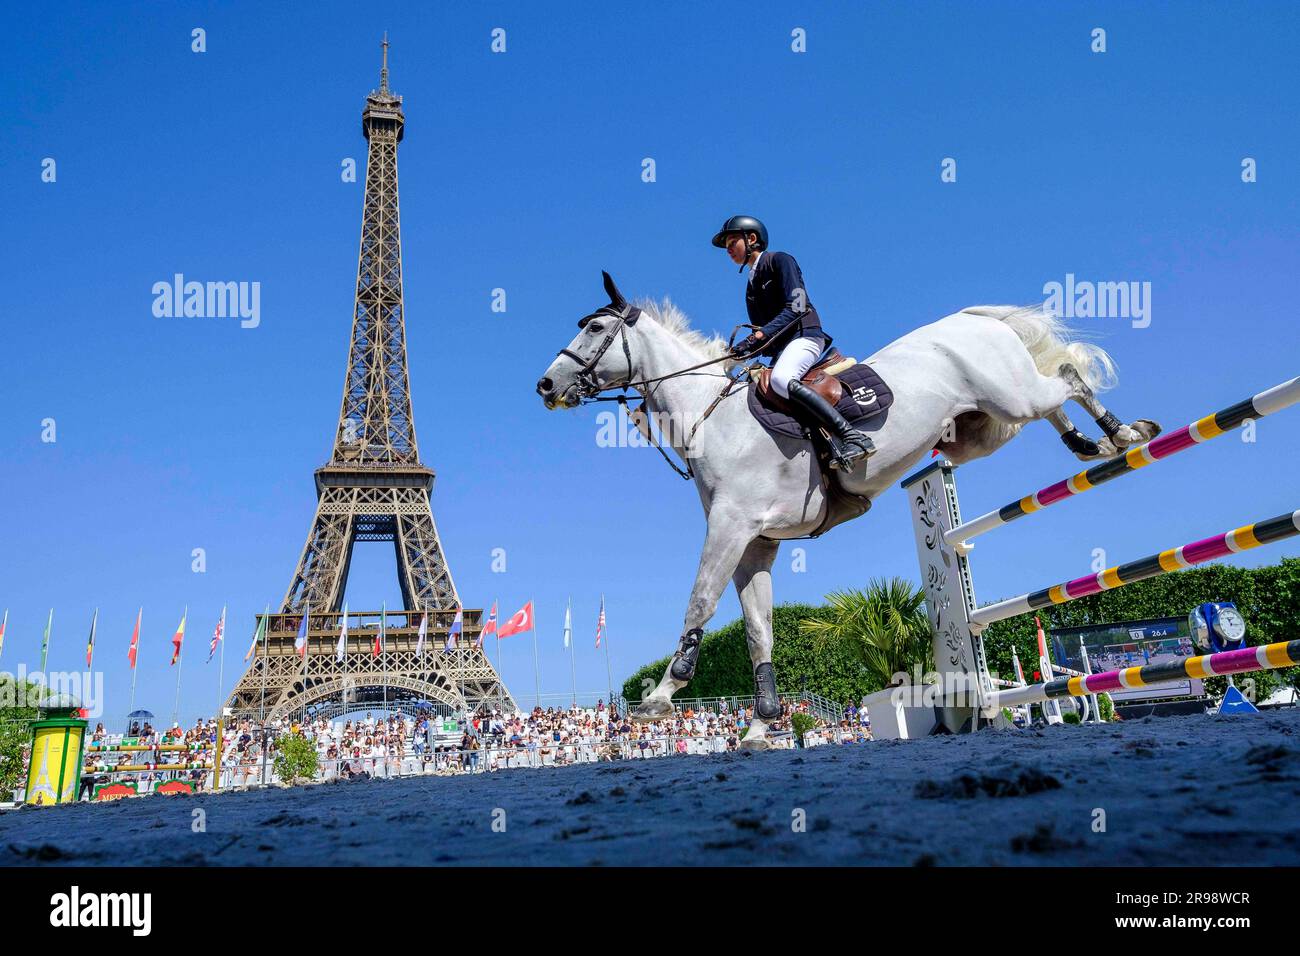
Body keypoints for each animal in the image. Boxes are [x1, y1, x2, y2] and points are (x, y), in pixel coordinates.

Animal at [533, 273, 1164, 749]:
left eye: (594, 327)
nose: (545, 385)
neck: (711, 417)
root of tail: (973, 318)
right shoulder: (757, 544)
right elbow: (758, 633)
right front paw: (761, 725)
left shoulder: (731, 527)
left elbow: (699, 602)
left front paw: (661, 695)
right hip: (982, 428)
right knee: (1053, 402)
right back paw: (1088, 446)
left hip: (1011, 397)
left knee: (1067, 379)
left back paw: (1125, 433)